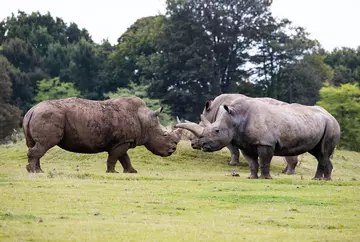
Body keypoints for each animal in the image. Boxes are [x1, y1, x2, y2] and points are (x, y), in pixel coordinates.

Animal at [22, 96, 180, 174]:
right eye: (165, 135)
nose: (173, 149)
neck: (145, 120)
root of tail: (32, 110)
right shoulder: (122, 141)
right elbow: (115, 157)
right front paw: (112, 172)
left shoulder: (123, 141)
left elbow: (124, 158)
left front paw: (132, 172)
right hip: (49, 116)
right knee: (44, 145)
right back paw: (34, 171)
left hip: (39, 115)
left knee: (35, 145)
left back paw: (39, 171)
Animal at [176, 98, 340, 180]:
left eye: (216, 131)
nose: (202, 144)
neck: (235, 117)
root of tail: (331, 115)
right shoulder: (245, 144)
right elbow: (252, 162)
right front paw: (251, 177)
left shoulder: (265, 143)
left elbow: (265, 160)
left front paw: (265, 178)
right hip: (318, 123)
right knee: (319, 153)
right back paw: (324, 180)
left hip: (331, 125)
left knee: (323, 152)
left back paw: (319, 180)